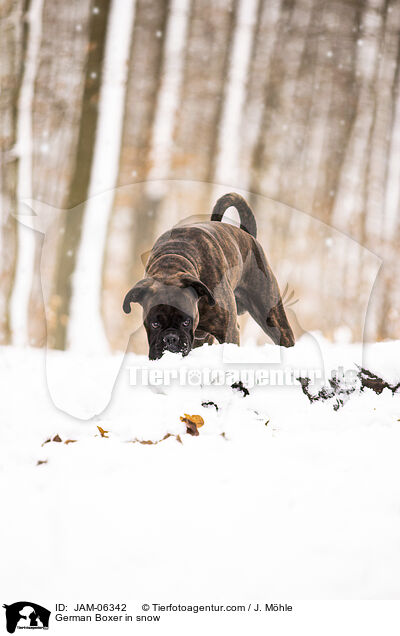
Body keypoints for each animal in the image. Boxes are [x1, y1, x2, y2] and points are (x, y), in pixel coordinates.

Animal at [123, 191, 296, 360]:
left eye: (186, 322)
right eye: (155, 324)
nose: (171, 338)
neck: (171, 263)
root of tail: (246, 234)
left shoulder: (228, 331)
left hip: (270, 314)